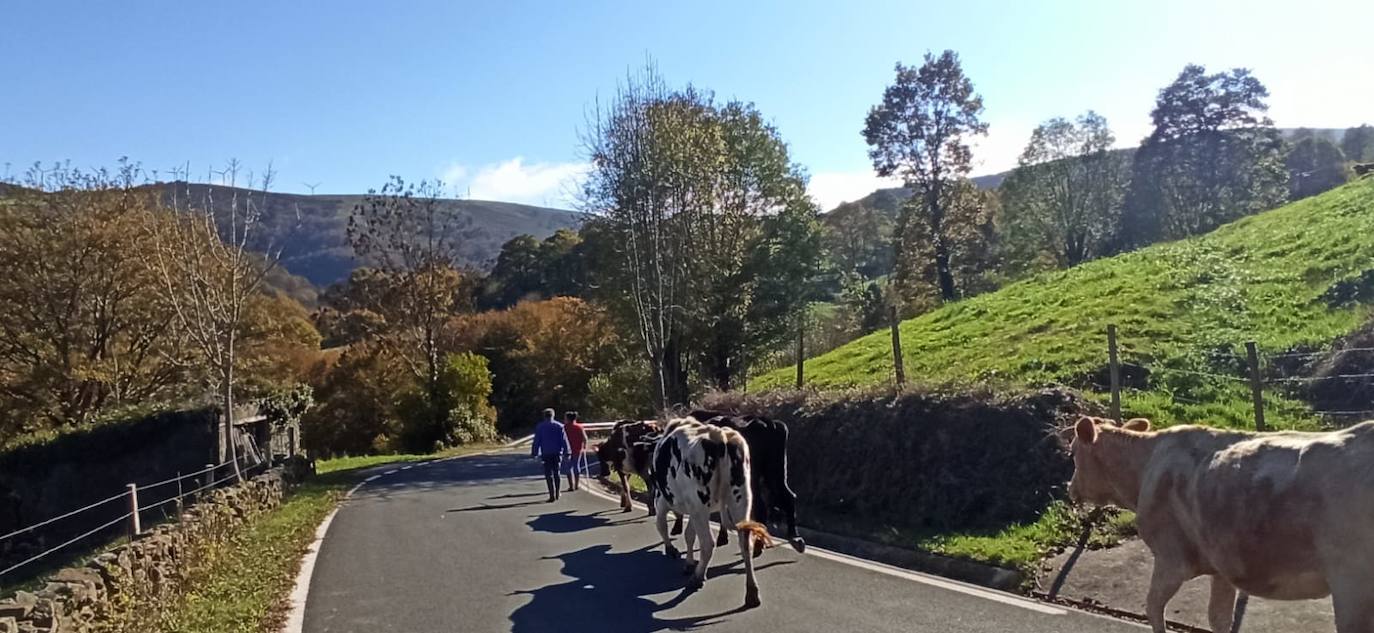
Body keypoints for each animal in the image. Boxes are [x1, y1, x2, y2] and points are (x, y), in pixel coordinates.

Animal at [648, 417, 769, 604]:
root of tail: (719, 435)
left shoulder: (662, 500)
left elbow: (662, 525)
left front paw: (672, 550)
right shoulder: (693, 508)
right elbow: (689, 534)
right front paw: (689, 563)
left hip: (702, 505)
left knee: (708, 543)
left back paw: (697, 579)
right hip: (741, 499)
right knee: (745, 543)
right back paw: (752, 592)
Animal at [687, 409, 802, 546]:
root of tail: (769, 423)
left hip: (756, 475)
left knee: (761, 506)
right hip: (776, 470)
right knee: (788, 496)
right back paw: (795, 537)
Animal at [1071, 414, 1374, 631]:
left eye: (1073, 452)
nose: (1069, 487)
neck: (1145, 466)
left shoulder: (1172, 558)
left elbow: (1153, 608)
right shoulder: (1222, 565)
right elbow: (1218, 618)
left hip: (1352, 584)